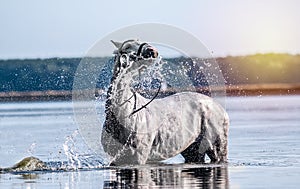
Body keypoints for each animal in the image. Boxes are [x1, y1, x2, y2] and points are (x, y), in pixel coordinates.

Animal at [99, 39, 229, 165]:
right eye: (127, 47)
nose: (152, 51)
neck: (125, 113)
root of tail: (221, 109)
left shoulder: (138, 157)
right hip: (192, 149)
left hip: (217, 145)